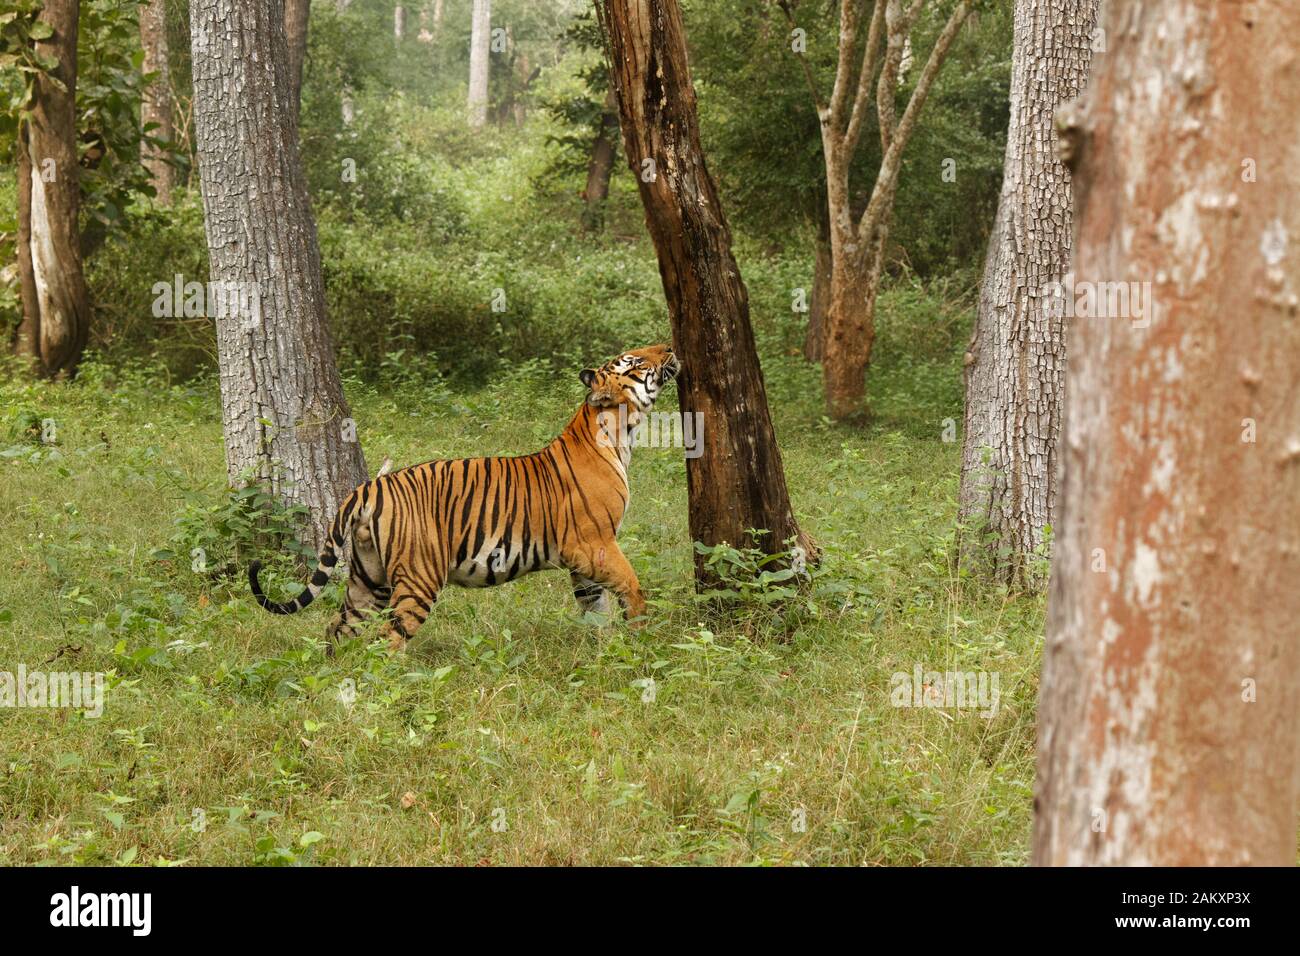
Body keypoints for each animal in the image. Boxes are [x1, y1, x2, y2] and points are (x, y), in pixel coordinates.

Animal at [248, 343, 682, 651]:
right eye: (634, 360)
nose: (669, 346)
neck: (618, 433)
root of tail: (368, 487)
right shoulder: (595, 545)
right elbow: (632, 586)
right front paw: (641, 640)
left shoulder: (584, 560)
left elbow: (595, 608)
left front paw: (605, 651)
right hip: (418, 579)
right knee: (389, 641)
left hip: (368, 579)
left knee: (337, 628)